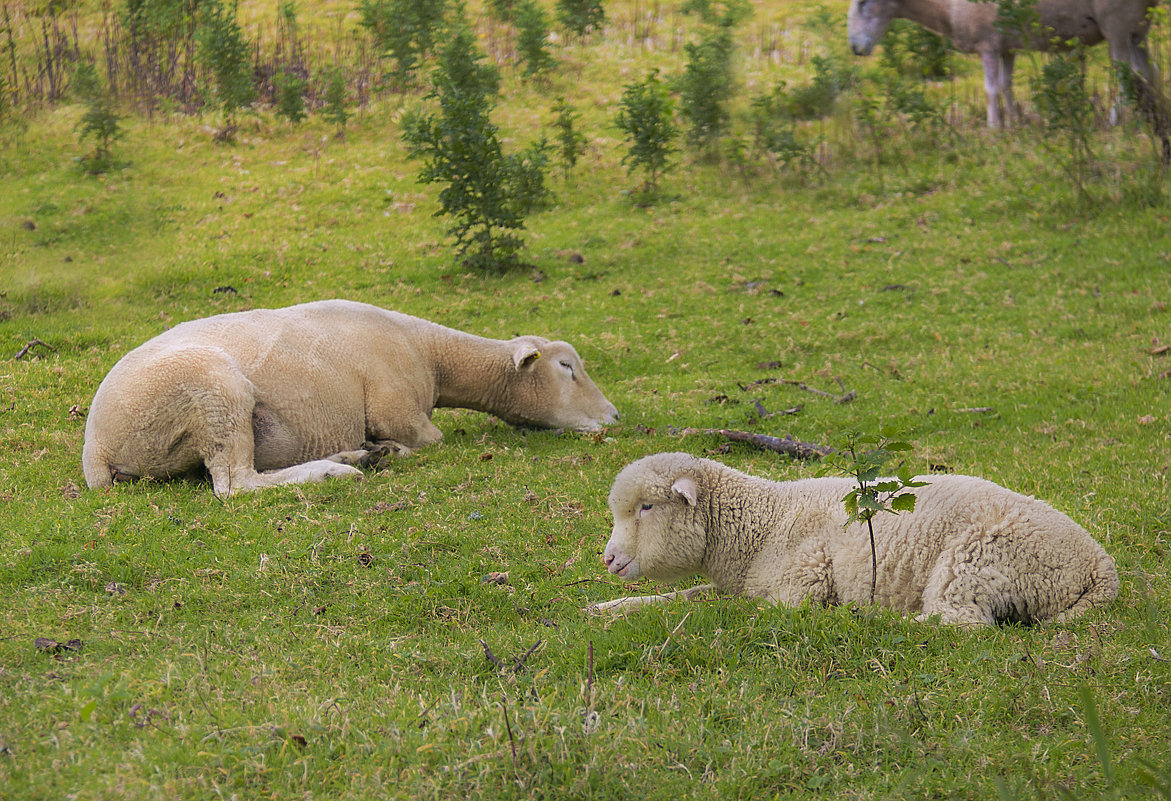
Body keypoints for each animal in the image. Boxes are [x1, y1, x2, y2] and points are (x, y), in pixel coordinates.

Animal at [83, 299, 618, 494]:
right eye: (566, 367)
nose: (613, 416)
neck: (430, 353)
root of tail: (96, 448)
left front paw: (379, 450)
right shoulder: (398, 411)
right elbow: (432, 439)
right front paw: (389, 449)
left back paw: (359, 456)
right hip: (215, 391)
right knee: (235, 484)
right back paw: (337, 470)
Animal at [594, 449, 1114, 627]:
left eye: (646, 507)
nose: (609, 560)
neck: (758, 526)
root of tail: (1099, 566)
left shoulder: (797, 587)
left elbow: (714, 608)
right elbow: (687, 595)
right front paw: (606, 609)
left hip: (976, 562)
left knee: (958, 623)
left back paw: (871, 619)